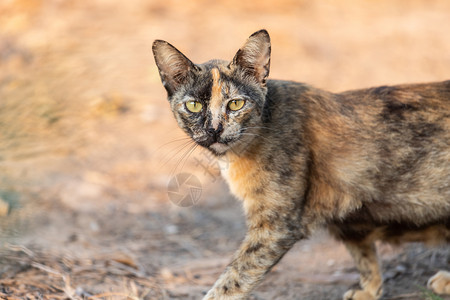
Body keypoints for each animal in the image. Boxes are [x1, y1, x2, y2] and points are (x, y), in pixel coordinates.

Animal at [152, 28, 450, 300]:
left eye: (236, 103)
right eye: (193, 106)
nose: (214, 129)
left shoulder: (276, 226)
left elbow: (234, 277)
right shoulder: (346, 215)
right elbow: (363, 252)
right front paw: (370, 290)